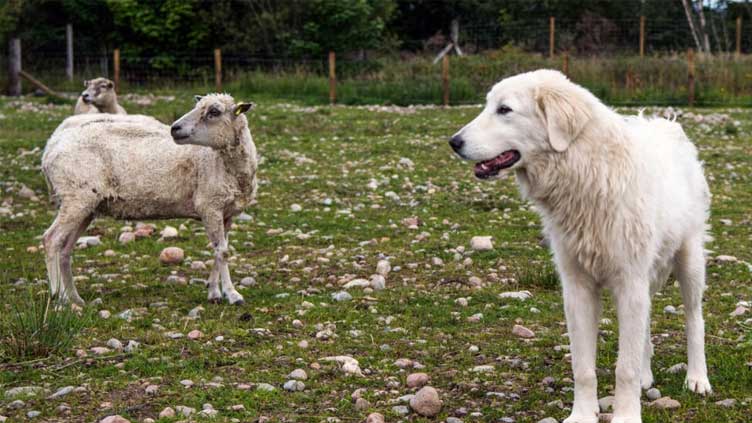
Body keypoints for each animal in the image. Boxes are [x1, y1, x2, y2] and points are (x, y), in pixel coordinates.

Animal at [41, 93, 258, 304]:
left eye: (214, 112)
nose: (174, 128)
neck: (222, 162)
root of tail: (51, 146)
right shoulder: (209, 206)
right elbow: (223, 252)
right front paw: (232, 294)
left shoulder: (226, 213)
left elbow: (219, 250)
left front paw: (214, 292)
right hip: (75, 197)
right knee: (51, 240)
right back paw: (59, 297)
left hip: (87, 205)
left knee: (65, 250)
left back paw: (75, 298)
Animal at [450, 70, 712, 423]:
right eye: (489, 105)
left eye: (504, 110)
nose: (454, 142)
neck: (586, 172)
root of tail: (665, 124)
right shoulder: (578, 289)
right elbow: (584, 367)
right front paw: (582, 414)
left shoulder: (629, 282)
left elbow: (624, 368)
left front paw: (626, 416)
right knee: (644, 329)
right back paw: (647, 376)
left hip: (689, 262)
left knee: (694, 319)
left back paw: (697, 378)